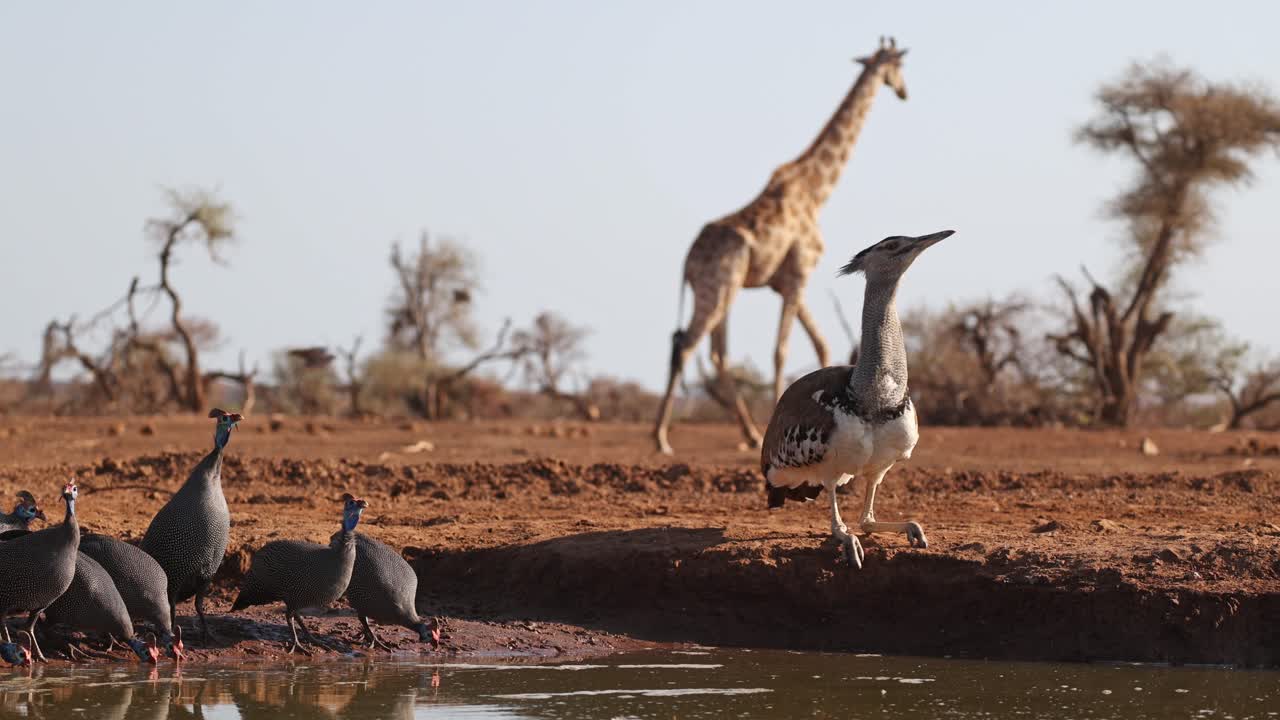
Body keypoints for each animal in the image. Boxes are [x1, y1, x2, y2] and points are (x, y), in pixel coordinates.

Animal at [653, 37, 910, 455]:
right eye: (897, 66)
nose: (903, 91)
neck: (816, 191)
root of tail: (687, 262)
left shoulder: (786, 282)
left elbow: (820, 345)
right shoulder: (799, 274)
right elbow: (781, 351)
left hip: (722, 292)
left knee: (716, 353)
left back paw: (747, 433)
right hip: (715, 290)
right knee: (685, 345)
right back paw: (660, 437)